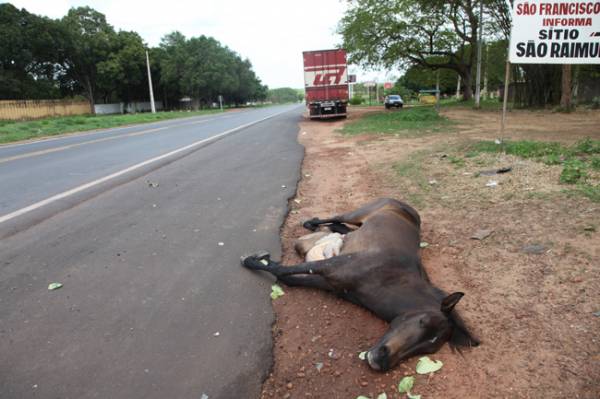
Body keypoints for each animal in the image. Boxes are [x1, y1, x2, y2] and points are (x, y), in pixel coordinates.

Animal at [239, 198, 478, 374]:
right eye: (422, 321)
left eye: (428, 348)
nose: (381, 361)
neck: (388, 275)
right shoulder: (331, 266)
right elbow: (285, 271)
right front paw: (252, 261)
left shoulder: (330, 282)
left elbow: (289, 278)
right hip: (358, 213)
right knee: (336, 218)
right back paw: (311, 222)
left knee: (341, 227)